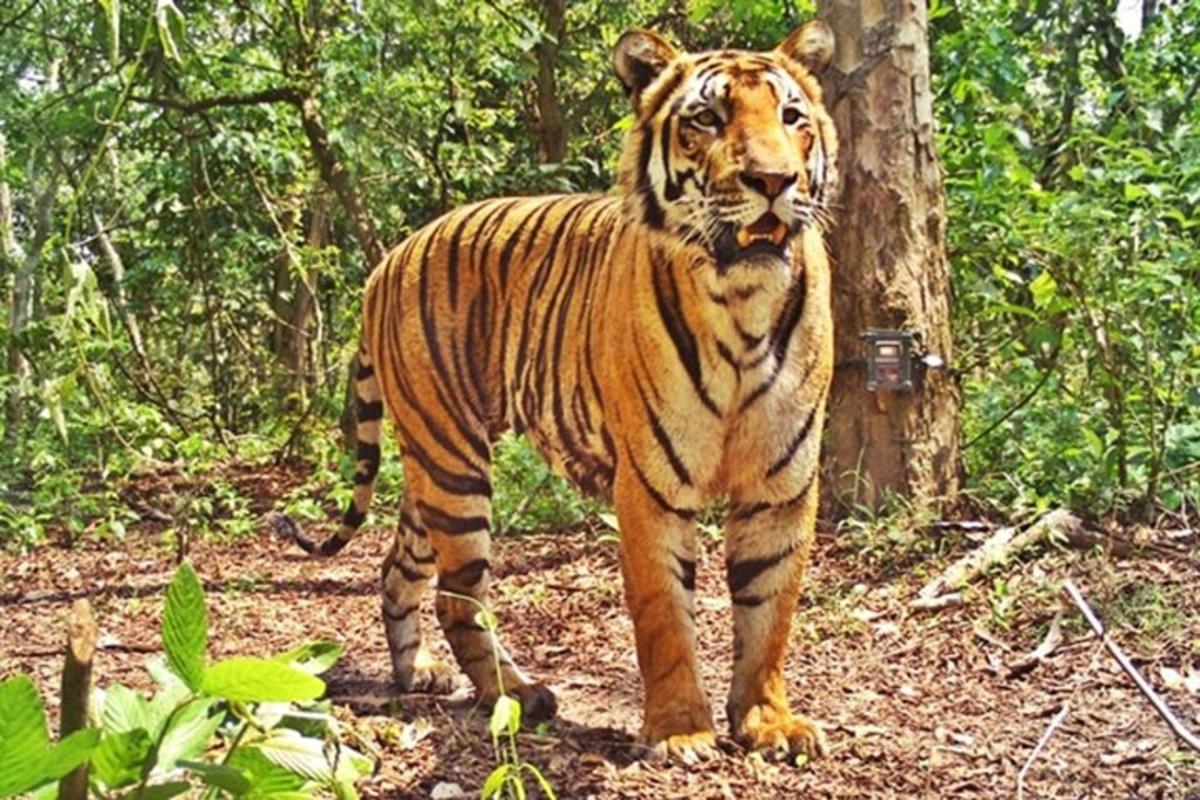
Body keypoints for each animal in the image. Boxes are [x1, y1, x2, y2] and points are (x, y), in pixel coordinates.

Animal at [278, 20, 844, 762]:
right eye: (706, 118)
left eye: (792, 118)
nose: (774, 180)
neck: (743, 306)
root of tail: (389, 258)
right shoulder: (650, 486)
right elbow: (666, 616)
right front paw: (680, 730)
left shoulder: (782, 485)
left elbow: (770, 616)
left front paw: (768, 721)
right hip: (454, 463)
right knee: (458, 596)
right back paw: (516, 695)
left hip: (431, 471)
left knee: (399, 565)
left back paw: (415, 671)